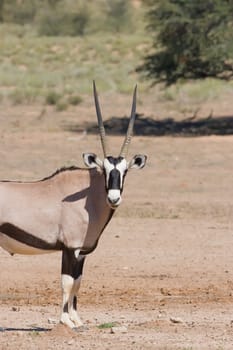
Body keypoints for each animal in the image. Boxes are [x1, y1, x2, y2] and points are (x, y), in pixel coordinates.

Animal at [0, 83, 146, 330]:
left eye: (124, 171)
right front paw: (66, 321)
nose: (114, 198)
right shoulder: (70, 248)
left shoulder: (82, 252)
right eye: (105, 170)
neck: (88, 196)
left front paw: (77, 319)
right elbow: (67, 282)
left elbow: (78, 282)